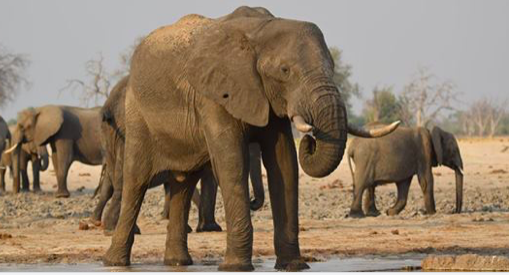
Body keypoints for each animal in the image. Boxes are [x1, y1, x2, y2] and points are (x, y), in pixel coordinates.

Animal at [102, 5, 396, 272]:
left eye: (333, 67)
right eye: (285, 70)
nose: (310, 139)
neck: (260, 31)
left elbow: (284, 163)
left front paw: (293, 266)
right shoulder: (213, 95)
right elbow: (232, 163)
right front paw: (236, 267)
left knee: (183, 184)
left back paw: (177, 263)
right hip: (137, 115)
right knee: (136, 181)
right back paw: (114, 263)